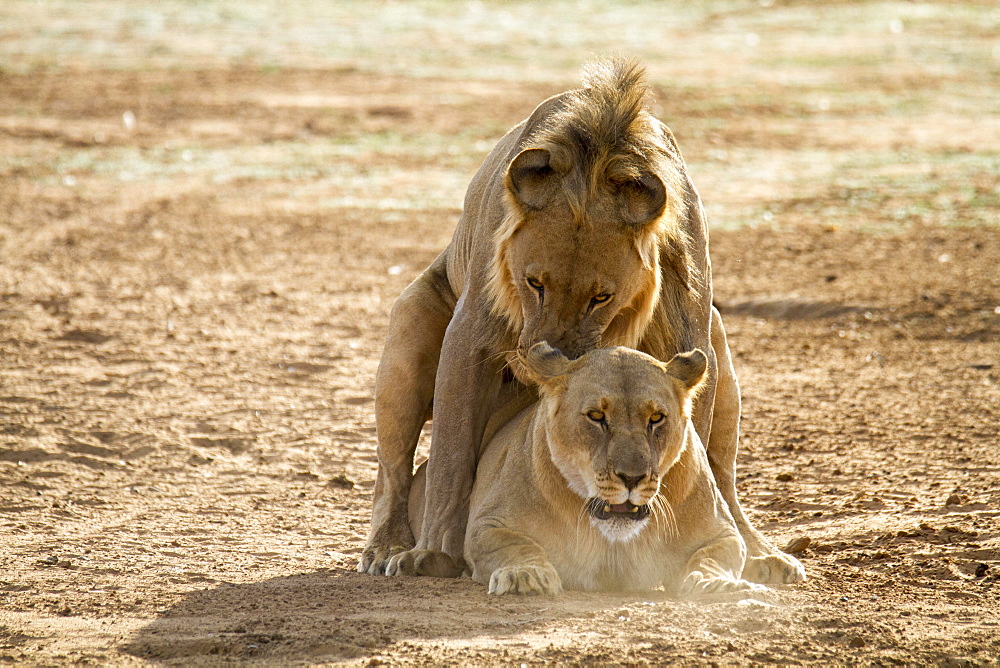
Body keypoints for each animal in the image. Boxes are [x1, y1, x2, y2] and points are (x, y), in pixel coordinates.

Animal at [406, 342, 764, 596]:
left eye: (656, 418)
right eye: (596, 416)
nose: (632, 478)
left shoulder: (720, 532)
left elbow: (712, 558)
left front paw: (717, 584)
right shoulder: (487, 524)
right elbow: (515, 546)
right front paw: (526, 575)